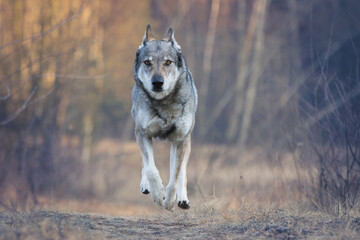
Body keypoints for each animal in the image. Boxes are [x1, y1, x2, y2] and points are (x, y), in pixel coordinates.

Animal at [131, 24, 198, 210]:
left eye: (168, 62)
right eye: (147, 62)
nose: (157, 82)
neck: (164, 103)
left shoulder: (179, 139)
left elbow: (175, 176)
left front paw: (169, 201)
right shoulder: (143, 133)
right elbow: (151, 168)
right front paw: (158, 192)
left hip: (186, 143)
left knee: (182, 171)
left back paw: (182, 199)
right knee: (146, 163)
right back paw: (146, 186)